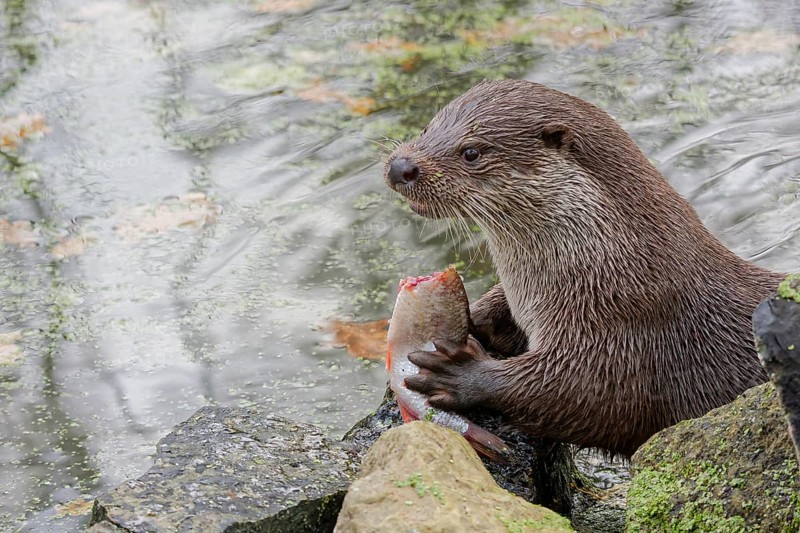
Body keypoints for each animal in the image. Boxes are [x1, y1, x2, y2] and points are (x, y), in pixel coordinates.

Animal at [384, 79, 784, 456]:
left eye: (471, 152)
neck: (619, 270)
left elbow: (580, 396)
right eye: (427, 127)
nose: (401, 166)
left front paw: (460, 374)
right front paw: (477, 315)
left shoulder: (626, 335)